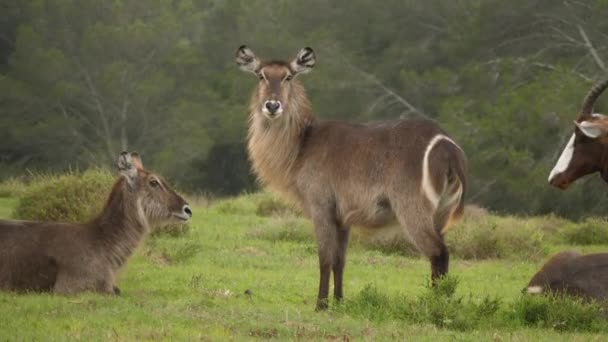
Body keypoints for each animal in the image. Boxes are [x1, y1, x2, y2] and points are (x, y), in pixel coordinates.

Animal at [235, 44, 468, 310]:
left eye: (288, 76)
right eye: (261, 75)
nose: (272, 106)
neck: (302, 145)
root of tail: (446, 146)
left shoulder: (321, 206)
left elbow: (324, 258)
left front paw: (321, 305)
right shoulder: (343, 217)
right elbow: (340, 260)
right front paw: (339, 301)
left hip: (412, 209)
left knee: (438, 253)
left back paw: (434, 304)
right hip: (442, 213)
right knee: (441, 255)